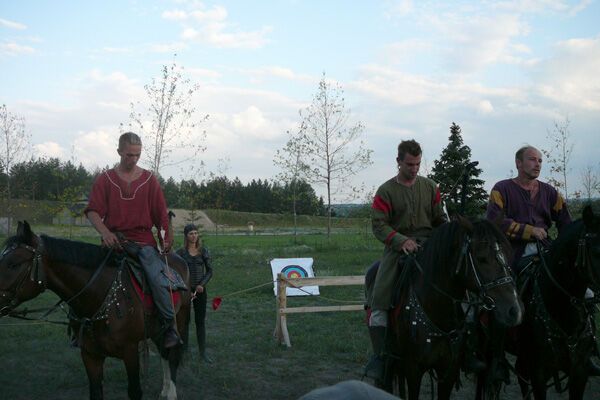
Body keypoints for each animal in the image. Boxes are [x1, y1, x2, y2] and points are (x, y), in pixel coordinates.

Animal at [0, 222, 191, 400]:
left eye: (14, 264)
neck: (99, 296)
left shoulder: (130, 352)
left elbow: (135, 391)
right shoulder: (90, 355)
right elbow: (96, 392)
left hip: (179, 321)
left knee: (172, 355)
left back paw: (171, 393)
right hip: (157, 329)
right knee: (164, 352)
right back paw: (165, 389)